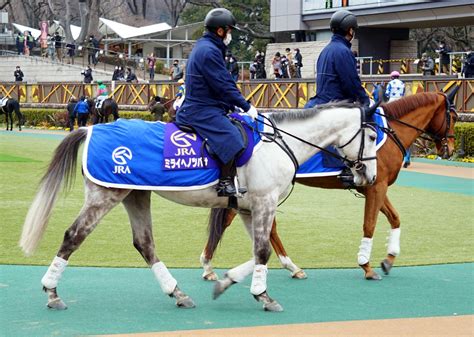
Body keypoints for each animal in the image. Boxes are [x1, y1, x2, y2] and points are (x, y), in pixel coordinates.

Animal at [21, 101, 378, 312]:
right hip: (105, 196)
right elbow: (263, 250)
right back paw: (52, 292)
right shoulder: (264, 203)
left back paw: (177, 292)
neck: (279, 142)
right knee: (73, 236)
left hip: (135, 195)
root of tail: (91, 126)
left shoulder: (250, 208)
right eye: (374, 136)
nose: (370, 176)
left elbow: (258, 250)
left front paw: (226, 281)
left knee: (145, 244)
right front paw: (262, 295)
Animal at [200, 89, 460, 280]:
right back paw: (210, 265)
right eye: (454, 117)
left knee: (264, 227)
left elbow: (395, 218)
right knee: (236, 222)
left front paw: (389, 258)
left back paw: (289, 266)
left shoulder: (376, 185)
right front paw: (366, 265)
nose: (449, 149)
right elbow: (370, 224)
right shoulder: (376, 187)